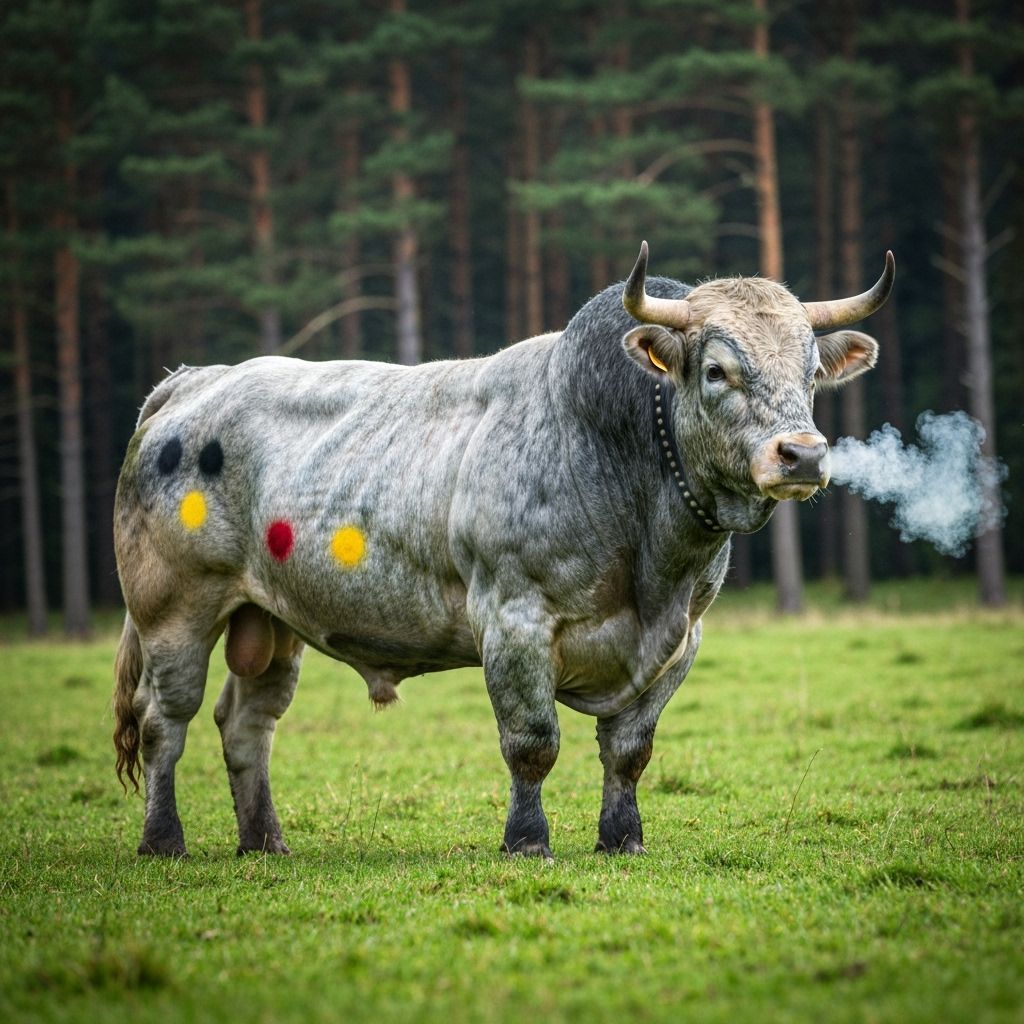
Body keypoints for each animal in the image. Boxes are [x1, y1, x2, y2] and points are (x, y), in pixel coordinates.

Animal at [113, 242, 894, 859]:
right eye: (716, 372)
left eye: (812, 373)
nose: (802, 453)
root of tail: (192, 380)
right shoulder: (514, 618)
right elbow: (532, 742)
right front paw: (527, 841)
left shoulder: (682, 639)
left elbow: (629, 751)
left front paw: (622, 839)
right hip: (172, 609)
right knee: (164, 721)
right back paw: (164, 841)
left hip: (270, 620)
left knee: (248, 723)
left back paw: (264, 841)